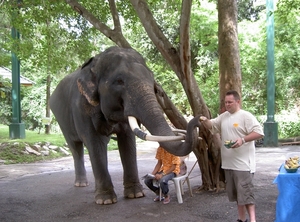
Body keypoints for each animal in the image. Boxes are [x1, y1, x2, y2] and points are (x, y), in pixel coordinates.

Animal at [49, 46, 202, 205]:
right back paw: (81, 184)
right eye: (119, 81)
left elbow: (127, 140)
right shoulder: (82, 108)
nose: (198, 119)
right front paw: (106, 200)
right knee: (75, 147)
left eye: (152, 79)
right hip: (61, 119)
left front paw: (136, 195)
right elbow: (94, 143)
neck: (95, 63)